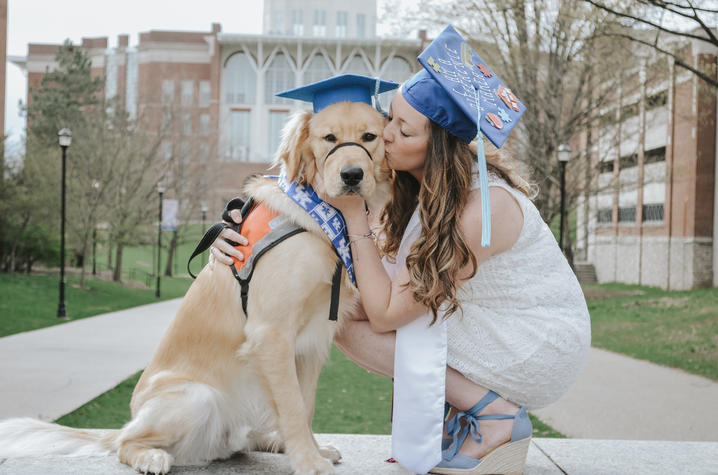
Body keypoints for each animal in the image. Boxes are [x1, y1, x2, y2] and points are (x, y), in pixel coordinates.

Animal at [0, 101, 390, 475]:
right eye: (329, 138)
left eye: (370, 137)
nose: (352, 175)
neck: (319, 217)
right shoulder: (271, 333)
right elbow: (293, 407)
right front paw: (308, 462)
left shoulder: (310, 343)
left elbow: (304, 406)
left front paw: (311, 451)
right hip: (196, 397)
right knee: (124, 443)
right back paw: (150, 457)